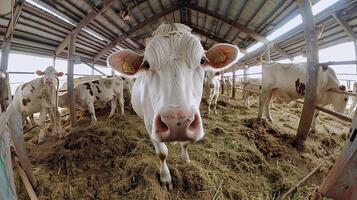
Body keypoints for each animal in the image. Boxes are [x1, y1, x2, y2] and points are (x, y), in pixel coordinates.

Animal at [106, 23, 239, 189]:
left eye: (202, 60)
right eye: (146, 64)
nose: (177, 122)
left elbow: (185, 144)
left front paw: (185, 159)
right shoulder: (150, 124)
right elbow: (162, 153)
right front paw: (165, 178)